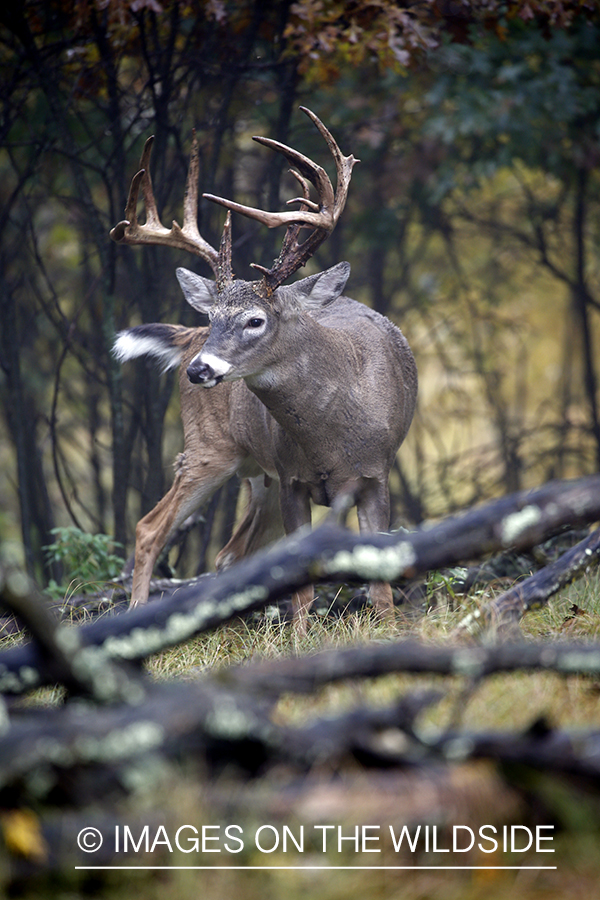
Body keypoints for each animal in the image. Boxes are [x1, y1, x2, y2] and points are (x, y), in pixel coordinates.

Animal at [111, 107, 418, 632]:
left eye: (255, 320)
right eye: (215, 315)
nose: (199, 370)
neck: (331, 439)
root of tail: (187, 336)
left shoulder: (376, 476)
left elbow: (379, 585)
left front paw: (389, 629)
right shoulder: (292, 479)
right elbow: (302, 586)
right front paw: (300, 637)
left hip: (258, 476)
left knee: (229, 554)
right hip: (212, 448)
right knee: (151, 528)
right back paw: (138, 620)